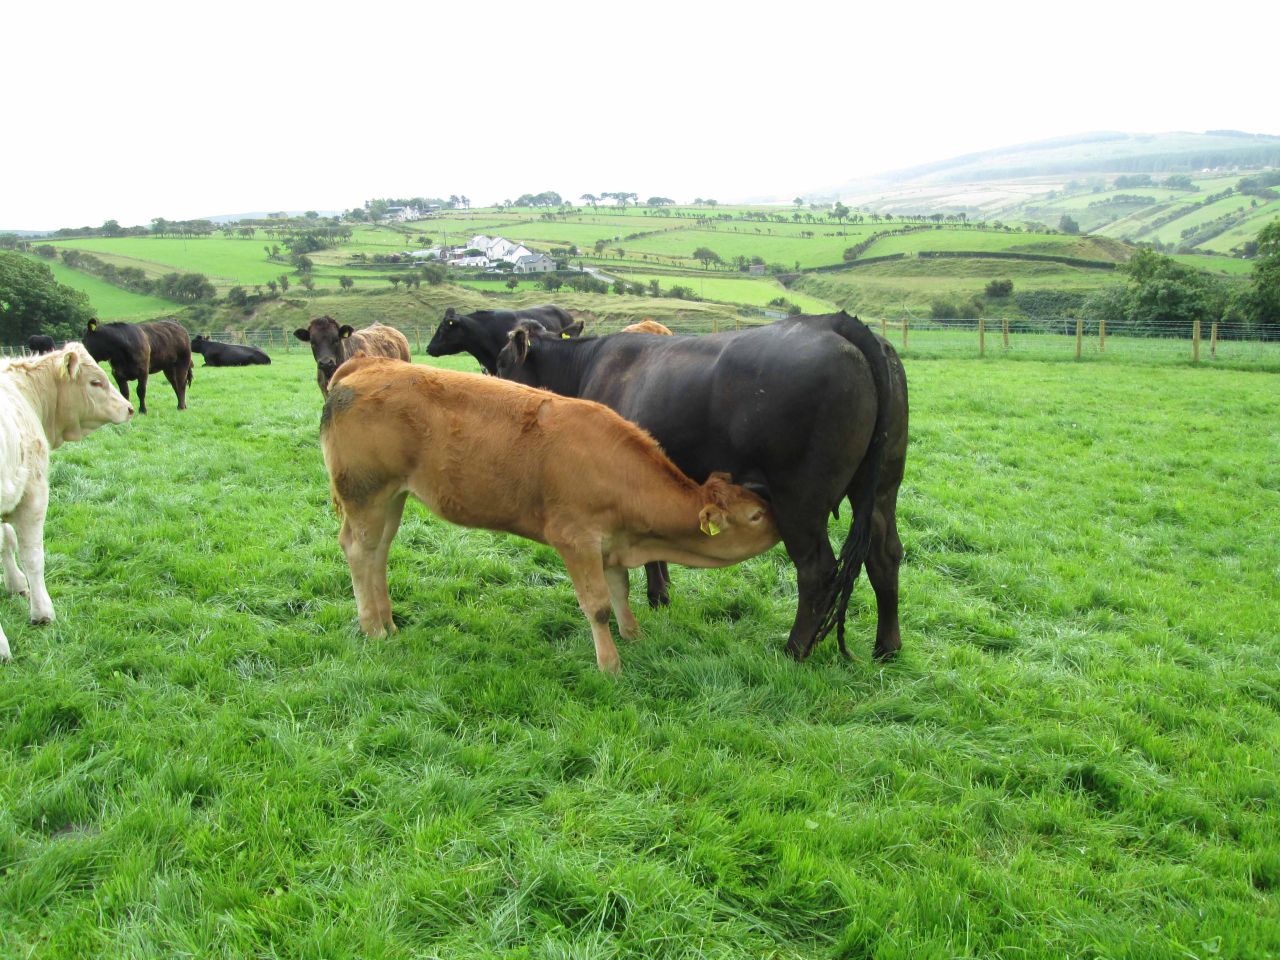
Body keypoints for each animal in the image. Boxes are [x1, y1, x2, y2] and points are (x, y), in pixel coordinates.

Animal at [0, 344, 134, 660]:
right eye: (96, 382)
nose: (129, 408)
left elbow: (6, 541)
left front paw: (15, 584)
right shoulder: (33, 494)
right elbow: (33, 556)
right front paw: (42, 613)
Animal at [320, 357, 779, 673]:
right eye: (757, 515)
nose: (783, 527)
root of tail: (369, 364)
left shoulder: (612, 542)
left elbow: (621, 591)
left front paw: (633, 635)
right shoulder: (575, 539)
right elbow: (597, 604)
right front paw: (610, 665)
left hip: (391, 496)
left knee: (378, 552)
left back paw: (388, 622)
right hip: (365, 492)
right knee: (358, 551)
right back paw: (373, 628)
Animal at [496, 311, 908, 662]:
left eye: (502, 364)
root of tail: (835, 322)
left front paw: (656, 595)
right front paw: (662, 592)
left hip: (800, 497)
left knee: (816, 569)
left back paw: (794, 650)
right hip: (883, 486)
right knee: (885, 554)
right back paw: (886, 648)